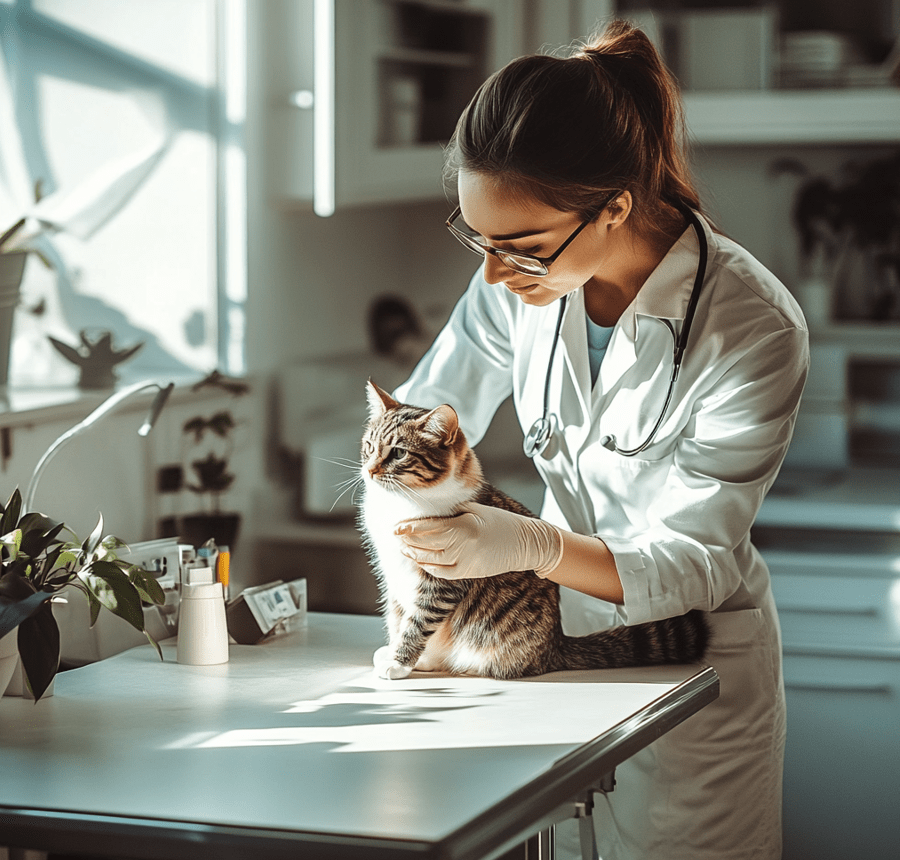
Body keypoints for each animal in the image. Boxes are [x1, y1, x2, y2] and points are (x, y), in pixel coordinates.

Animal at [358, 382, 712, 680]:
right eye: (369, 446)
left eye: (399, 453)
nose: (370, 470)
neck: (400, 503)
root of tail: (555, 645)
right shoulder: (393, 576)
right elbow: (397, 616)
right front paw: (398, 652)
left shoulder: (442, 578)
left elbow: (417, 622)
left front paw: (400, 660)